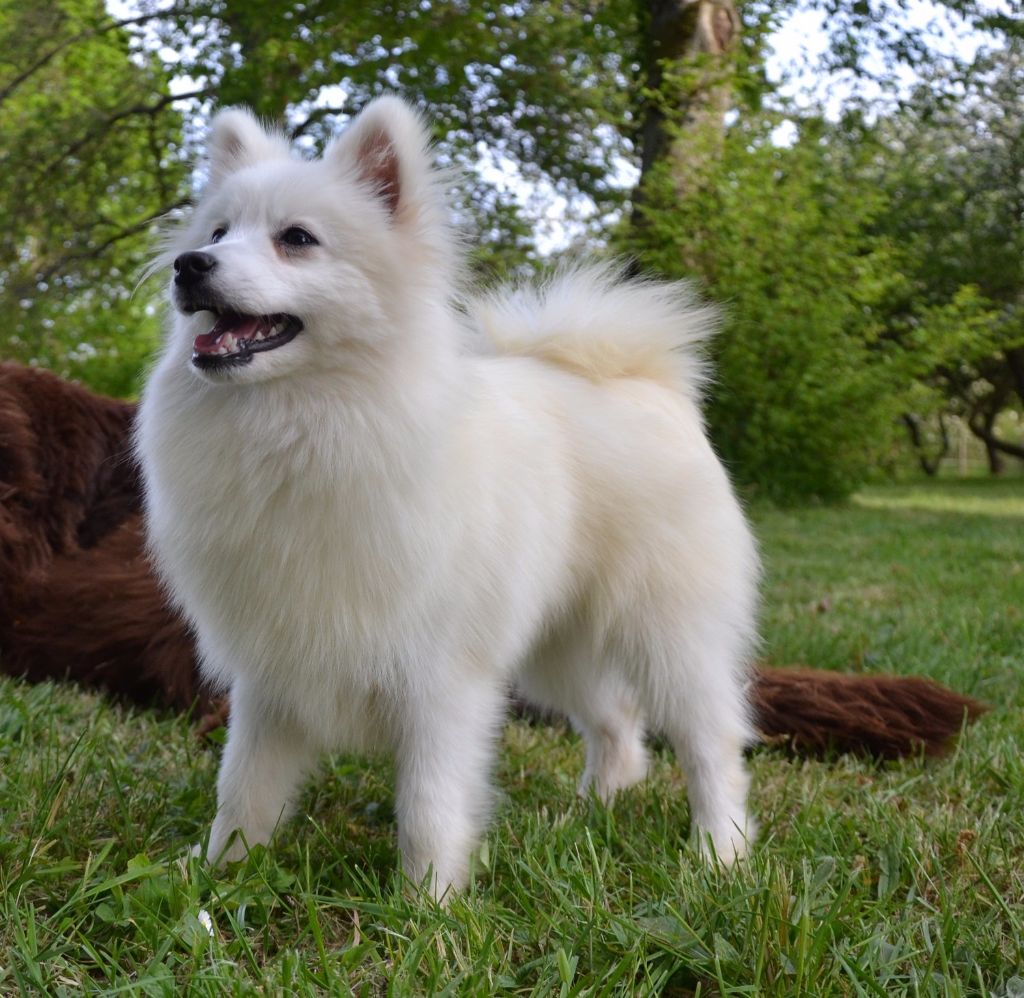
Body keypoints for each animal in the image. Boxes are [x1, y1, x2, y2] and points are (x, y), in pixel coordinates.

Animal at [136, 99, 761, 896]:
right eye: (217, 234)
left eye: (296, 240)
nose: (189, 266)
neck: (309, 426)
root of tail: (653, 387)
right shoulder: (273, 673)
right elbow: (243, 787)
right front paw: (218, 872)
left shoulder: (441, 681)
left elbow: (429, 804)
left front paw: (427, 904)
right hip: (557, 646)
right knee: (618, 724)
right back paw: (585, 814)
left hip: (668, 635)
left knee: (711, 743)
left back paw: (720, 853)